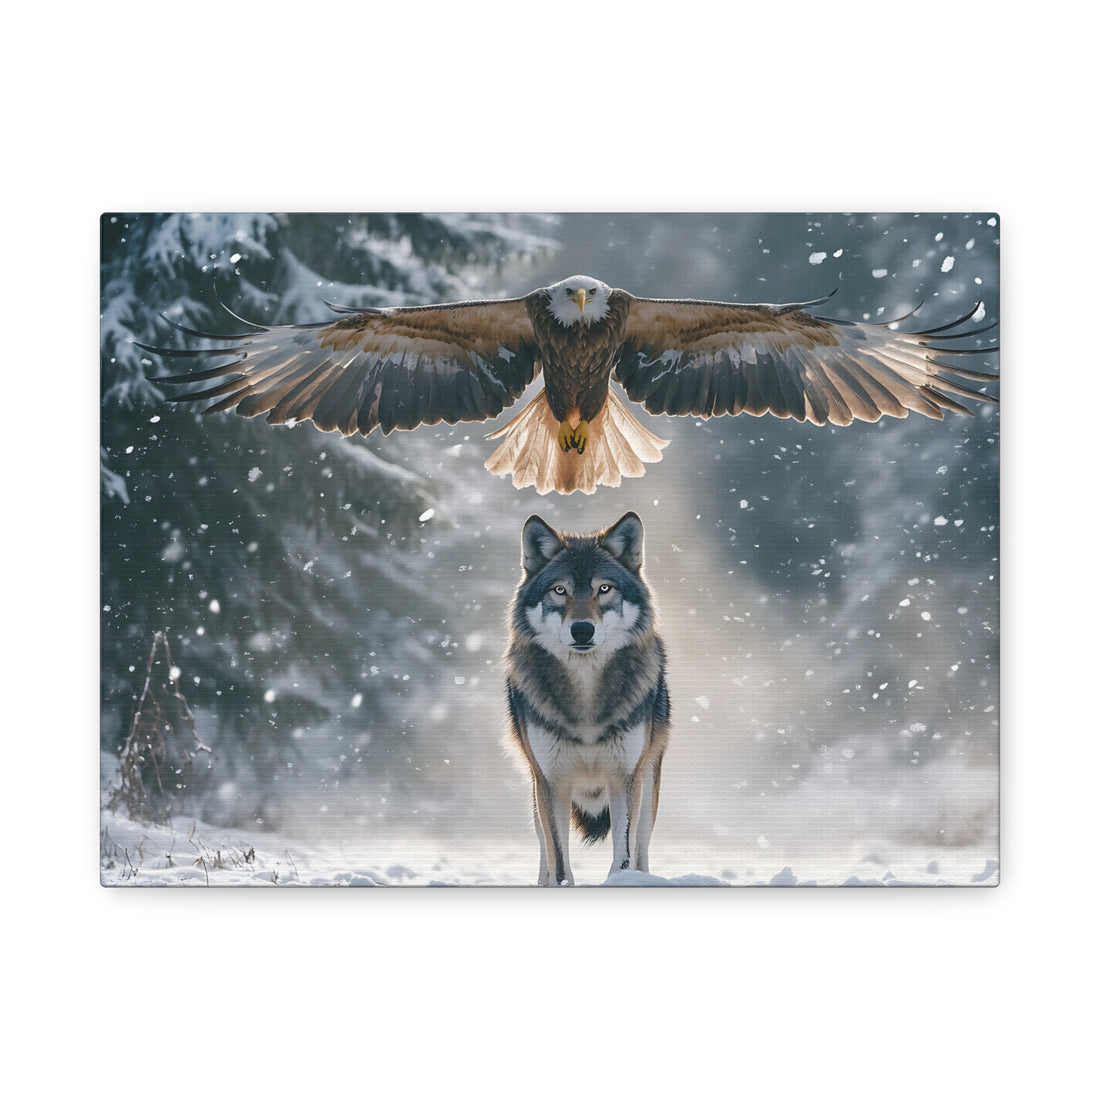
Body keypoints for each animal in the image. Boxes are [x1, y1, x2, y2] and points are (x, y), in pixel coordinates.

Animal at [503, 511, 671, 886]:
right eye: (559, 590)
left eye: (604, 588)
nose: (582, 630)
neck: (586, 695)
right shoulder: (550, 782)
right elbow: (558, 859)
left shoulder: (625, 778)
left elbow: (624, 853)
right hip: (536, 790)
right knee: (544, 849)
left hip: (649, 781)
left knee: (642, 848)